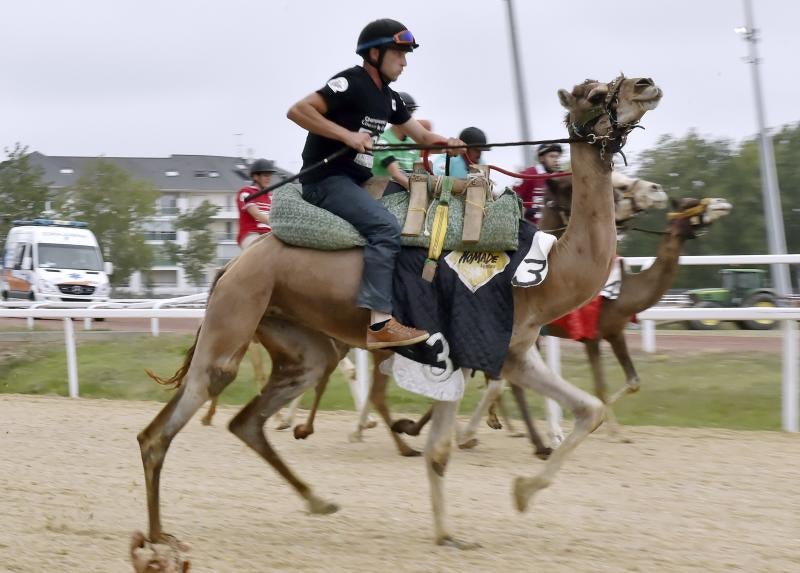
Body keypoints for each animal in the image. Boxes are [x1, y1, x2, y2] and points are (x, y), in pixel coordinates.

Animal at [136, 75, 664, 564]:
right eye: (595, 95)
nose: (647, 84)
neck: (542, 272)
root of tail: (232, 265)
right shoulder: (465, 349)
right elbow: (440, 449)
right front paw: (450, 532)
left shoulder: (512, 351)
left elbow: (588, 409)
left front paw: (521, 492)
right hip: (235, 318)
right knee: (164, 428)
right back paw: (158, 540)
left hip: (294, 337)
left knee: (254, 416)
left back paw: (318, 499)